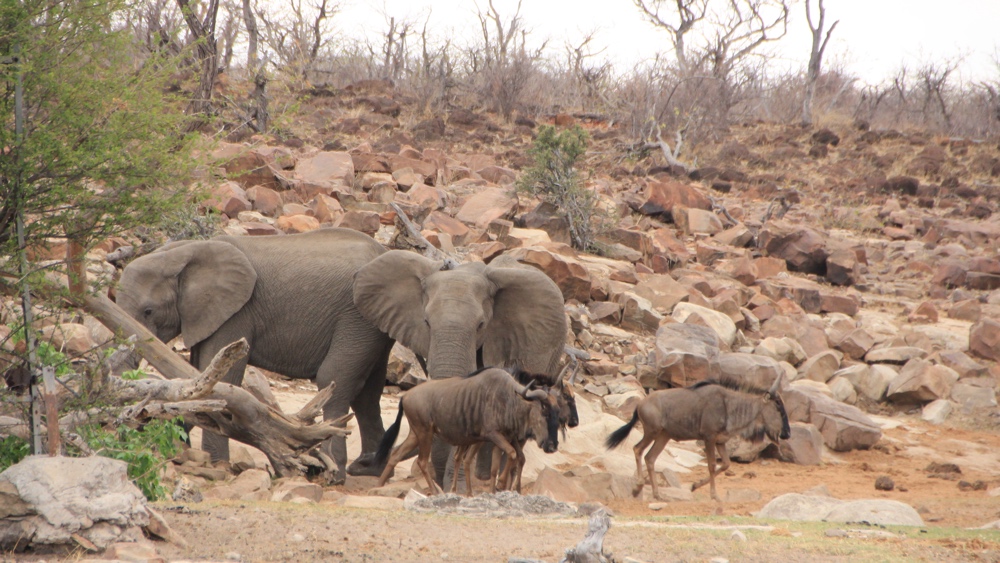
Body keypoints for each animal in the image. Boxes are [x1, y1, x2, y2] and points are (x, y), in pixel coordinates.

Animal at [115, 228, 394, 484]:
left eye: (148, 311)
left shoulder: (236, 312)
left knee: (334, 379)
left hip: (356, 319)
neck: (183, 252)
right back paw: (367, 470)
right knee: (368, 393)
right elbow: (197, 375)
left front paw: (216, 465)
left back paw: (335, 476)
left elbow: (221, 378)